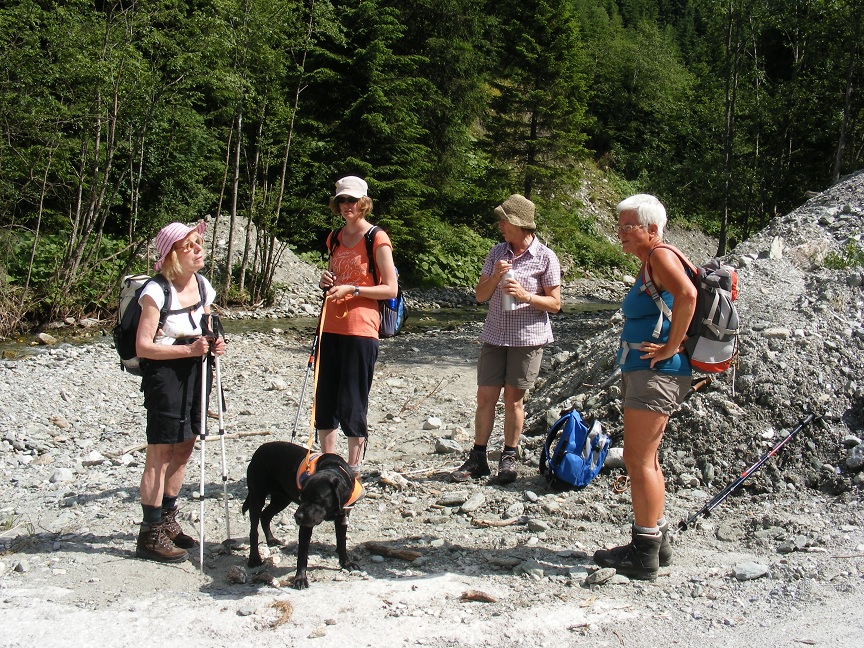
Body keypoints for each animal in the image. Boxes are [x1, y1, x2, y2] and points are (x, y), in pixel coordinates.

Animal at [241, 442, 362, 588]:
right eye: (302, 496)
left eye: (317, 498)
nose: (297, 517)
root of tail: (261, 448)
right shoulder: (306, 525)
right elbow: (302, 553)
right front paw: (300, 578)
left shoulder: (342, 518)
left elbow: (342, 542)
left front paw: (346, 563)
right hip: (257, 497)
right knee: (254, 530)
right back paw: (254, 558)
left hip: (281, 499)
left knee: (265, 515)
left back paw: (271, 539)